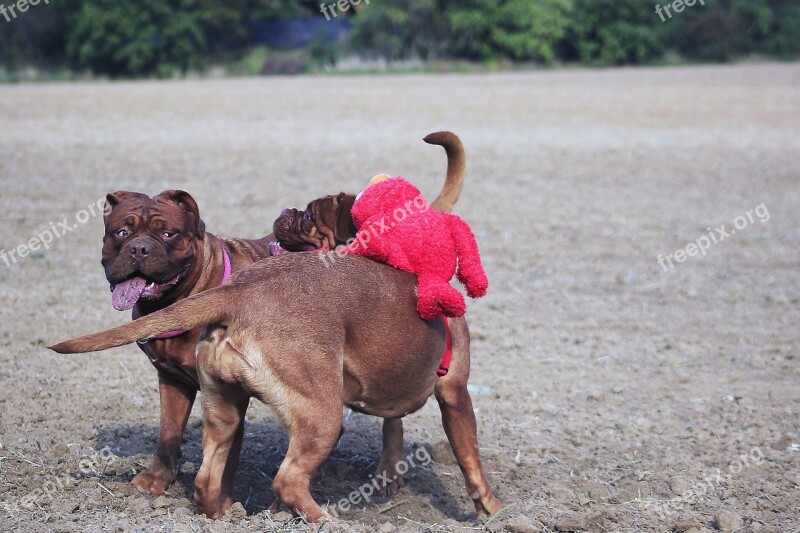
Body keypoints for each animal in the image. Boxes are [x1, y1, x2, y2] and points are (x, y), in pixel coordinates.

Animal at [50, 252, 500, 520]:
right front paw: (493, 511)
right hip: (323, 417)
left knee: (208, 481)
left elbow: (393, 434)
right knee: (287, 480)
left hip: (224, 411)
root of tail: (238, 292)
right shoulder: (455, 396)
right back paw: (325, 520)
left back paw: (228, 516)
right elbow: (471, 463)